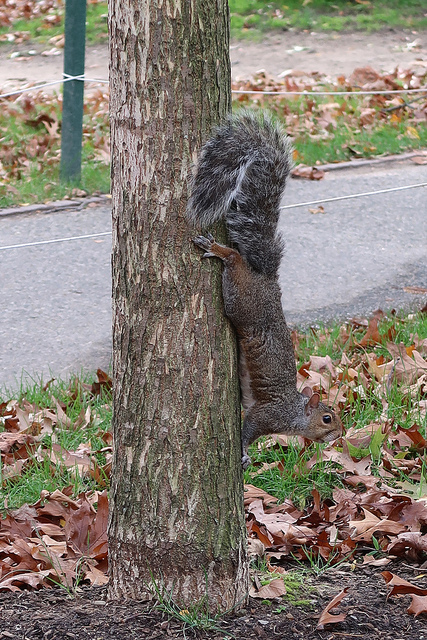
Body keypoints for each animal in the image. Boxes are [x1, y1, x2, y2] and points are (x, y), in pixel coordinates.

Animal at [189, 110, 342, 468]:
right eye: (327, 418)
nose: (340, 435)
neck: (295, 414)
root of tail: (266, 277)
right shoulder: (266, 416)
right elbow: (248, 431)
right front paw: (244, 455)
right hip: (241, 300)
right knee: (234, 260)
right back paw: (219, 250)